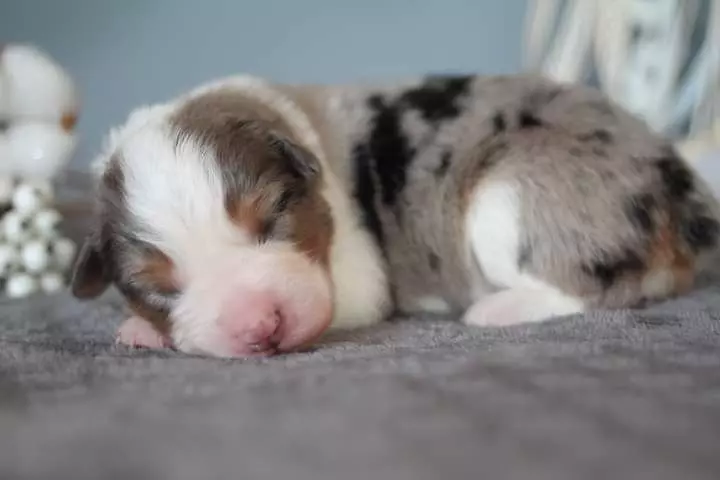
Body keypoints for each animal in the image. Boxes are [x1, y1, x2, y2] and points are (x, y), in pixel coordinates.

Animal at [70, 74, 720, 358]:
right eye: (157, 286)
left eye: (275, 214)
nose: (262, 327)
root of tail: (681, 186)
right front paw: (141, 326)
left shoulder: (357, 277)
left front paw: (138, 332)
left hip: (509, 196)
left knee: (593, 288)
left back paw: (495, 310)